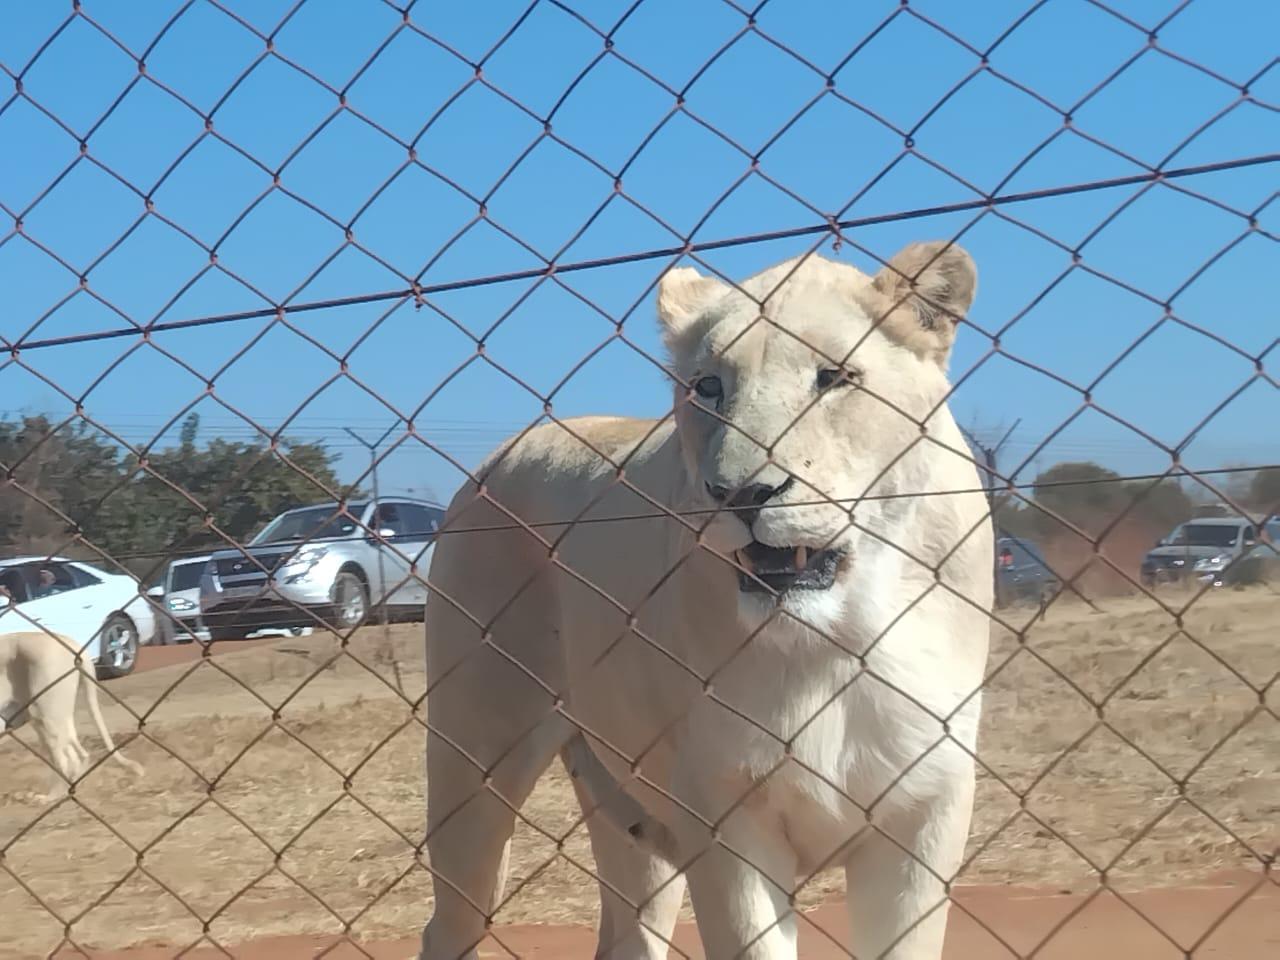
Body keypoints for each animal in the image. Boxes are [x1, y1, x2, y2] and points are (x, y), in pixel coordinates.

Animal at [1, 630, 144, 798]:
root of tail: (71, 643)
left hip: (44, 714)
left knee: (65, 760)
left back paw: (51, 797)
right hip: (55, 717)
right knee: (79, 754)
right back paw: (72, 786)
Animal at [418, 242, 992, 960]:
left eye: (832, 378)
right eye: (709, 387)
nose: (742, 494)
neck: (832, 640)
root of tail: (503, 452)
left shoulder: (925, 813)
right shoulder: (724, 816)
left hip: (630, 819)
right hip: (475, 762)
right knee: (451, 920)